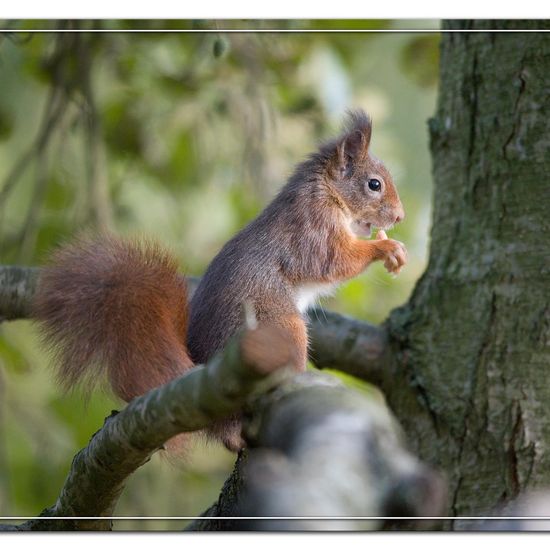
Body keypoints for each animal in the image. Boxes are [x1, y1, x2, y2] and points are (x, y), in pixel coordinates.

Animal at [33, 111, 406, 452]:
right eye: (374, 184)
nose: (400, 217)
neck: (327, 192)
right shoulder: (313, 229)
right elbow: (334, 260)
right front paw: (386, 248)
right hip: (280, 327)